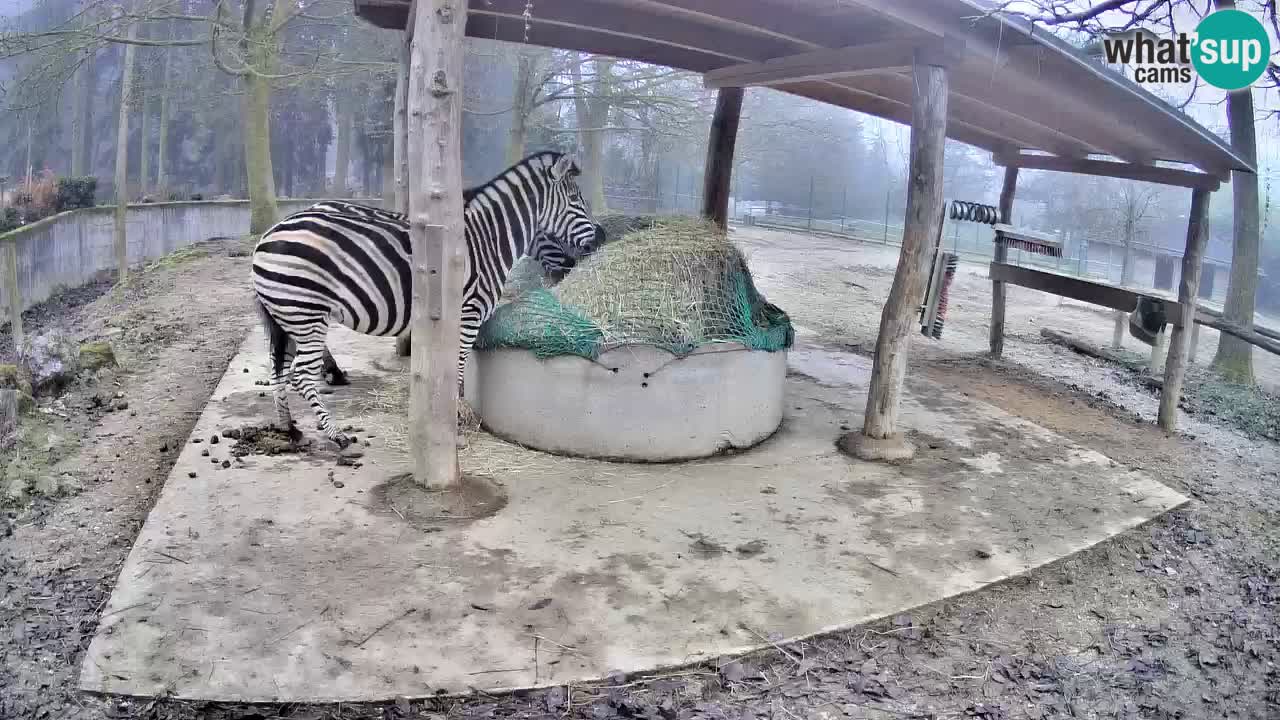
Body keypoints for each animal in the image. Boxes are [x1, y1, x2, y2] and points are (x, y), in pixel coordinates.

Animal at [251, 151, 605, 449]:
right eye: (576, 200)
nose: (601, 239)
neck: (487, 240)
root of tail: (267, 236)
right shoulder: (467, 314)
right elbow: (459, 368)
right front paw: (456, 422)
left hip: (287, 316)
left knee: (278, 369)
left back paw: (290, 428)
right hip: (307, 314)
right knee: (300, 375)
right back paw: (335, 433)